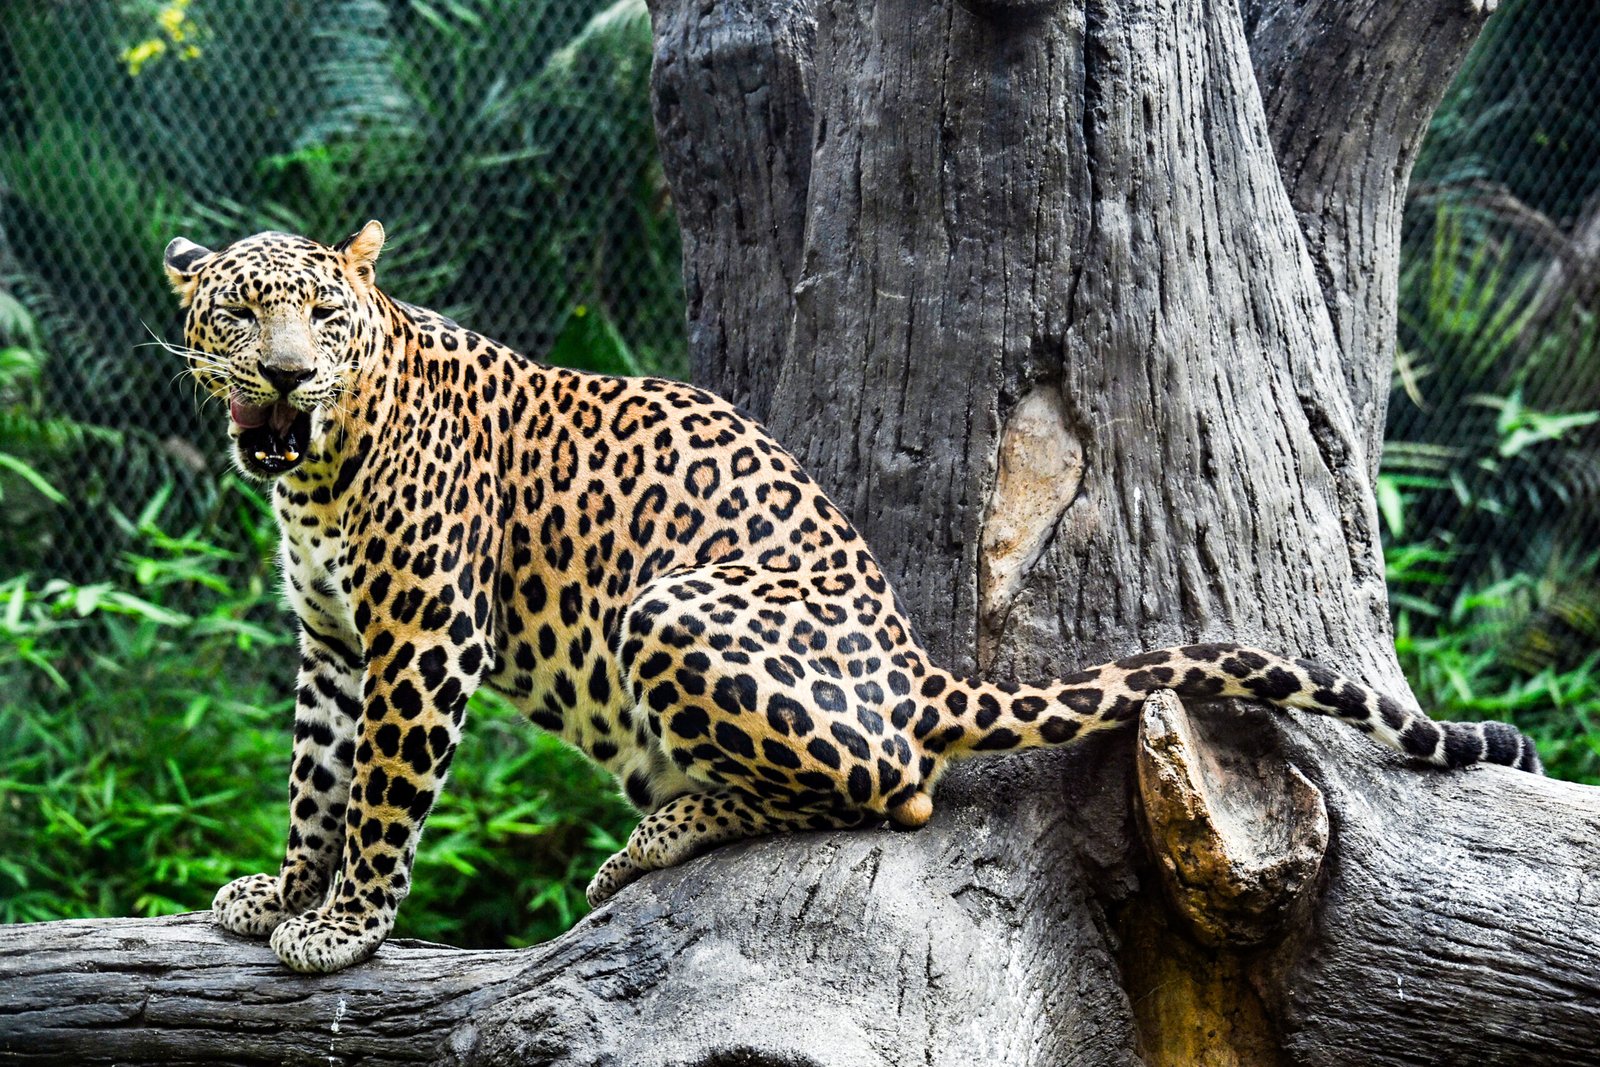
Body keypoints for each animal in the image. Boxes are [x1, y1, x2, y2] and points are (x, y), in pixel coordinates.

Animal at [163, 222, 1542, 974]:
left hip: (673, 609)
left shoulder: (424, 632)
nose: (283, 378)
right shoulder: (335, 642)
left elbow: (383, 790)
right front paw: (276, 892)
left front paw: (344, 926)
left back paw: (664, 832)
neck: (318, 470)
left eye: (321, 315)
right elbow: (317, 773)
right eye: (240, 314)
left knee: (895, 785)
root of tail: (916, 661)